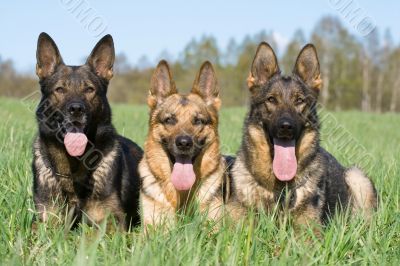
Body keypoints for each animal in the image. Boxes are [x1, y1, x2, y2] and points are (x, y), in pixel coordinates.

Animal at [32, 32, 142, 230]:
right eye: (60, 89)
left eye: (90, 89)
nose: (76, 109)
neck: (74, 168)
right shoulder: (45, 220)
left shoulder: (112, 222)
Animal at [231, 42, 378, 228]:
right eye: (271, 100)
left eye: (299, 101)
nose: (286, 127)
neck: (279, 188)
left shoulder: (309, 231)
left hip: (356, 176)